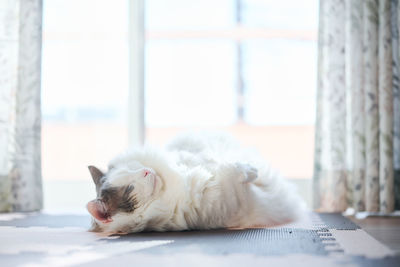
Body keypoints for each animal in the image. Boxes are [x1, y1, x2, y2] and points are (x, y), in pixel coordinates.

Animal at [87, 133, 304, 233]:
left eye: (131, 169)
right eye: (129, 189)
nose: (147, 171)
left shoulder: (189, 158)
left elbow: (205, 160)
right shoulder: (227, 202)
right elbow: (233, 171)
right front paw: (250, 171)